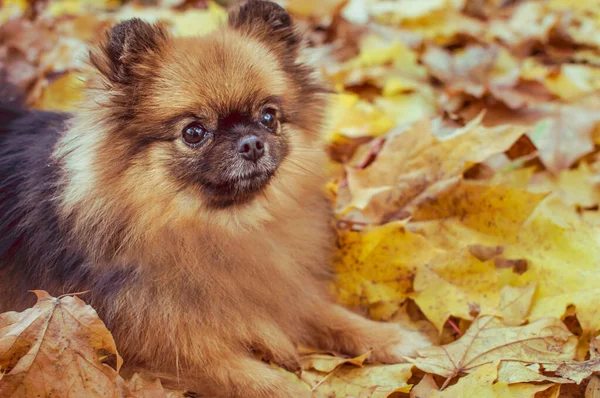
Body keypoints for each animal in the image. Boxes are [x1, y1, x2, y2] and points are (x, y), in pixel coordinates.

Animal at [0, 1, 432, 396]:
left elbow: (327, 312)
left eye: (269, 116)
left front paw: (392, 337)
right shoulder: (158, 344)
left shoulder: (281, 287)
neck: (221, 229)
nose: (252, 143)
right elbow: (257, 380)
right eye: (194, 132)